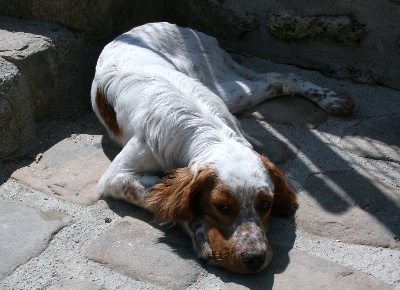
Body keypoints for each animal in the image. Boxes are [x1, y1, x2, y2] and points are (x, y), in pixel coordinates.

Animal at [91, 21, 354, 274]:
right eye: (222, 207)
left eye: (265, 204)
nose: (254, 258)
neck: (202, 129)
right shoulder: (114, 178)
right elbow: (166, 200)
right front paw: (203, 236)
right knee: (275, 79)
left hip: (224, 89)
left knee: (282, 77)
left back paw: (331, 99)